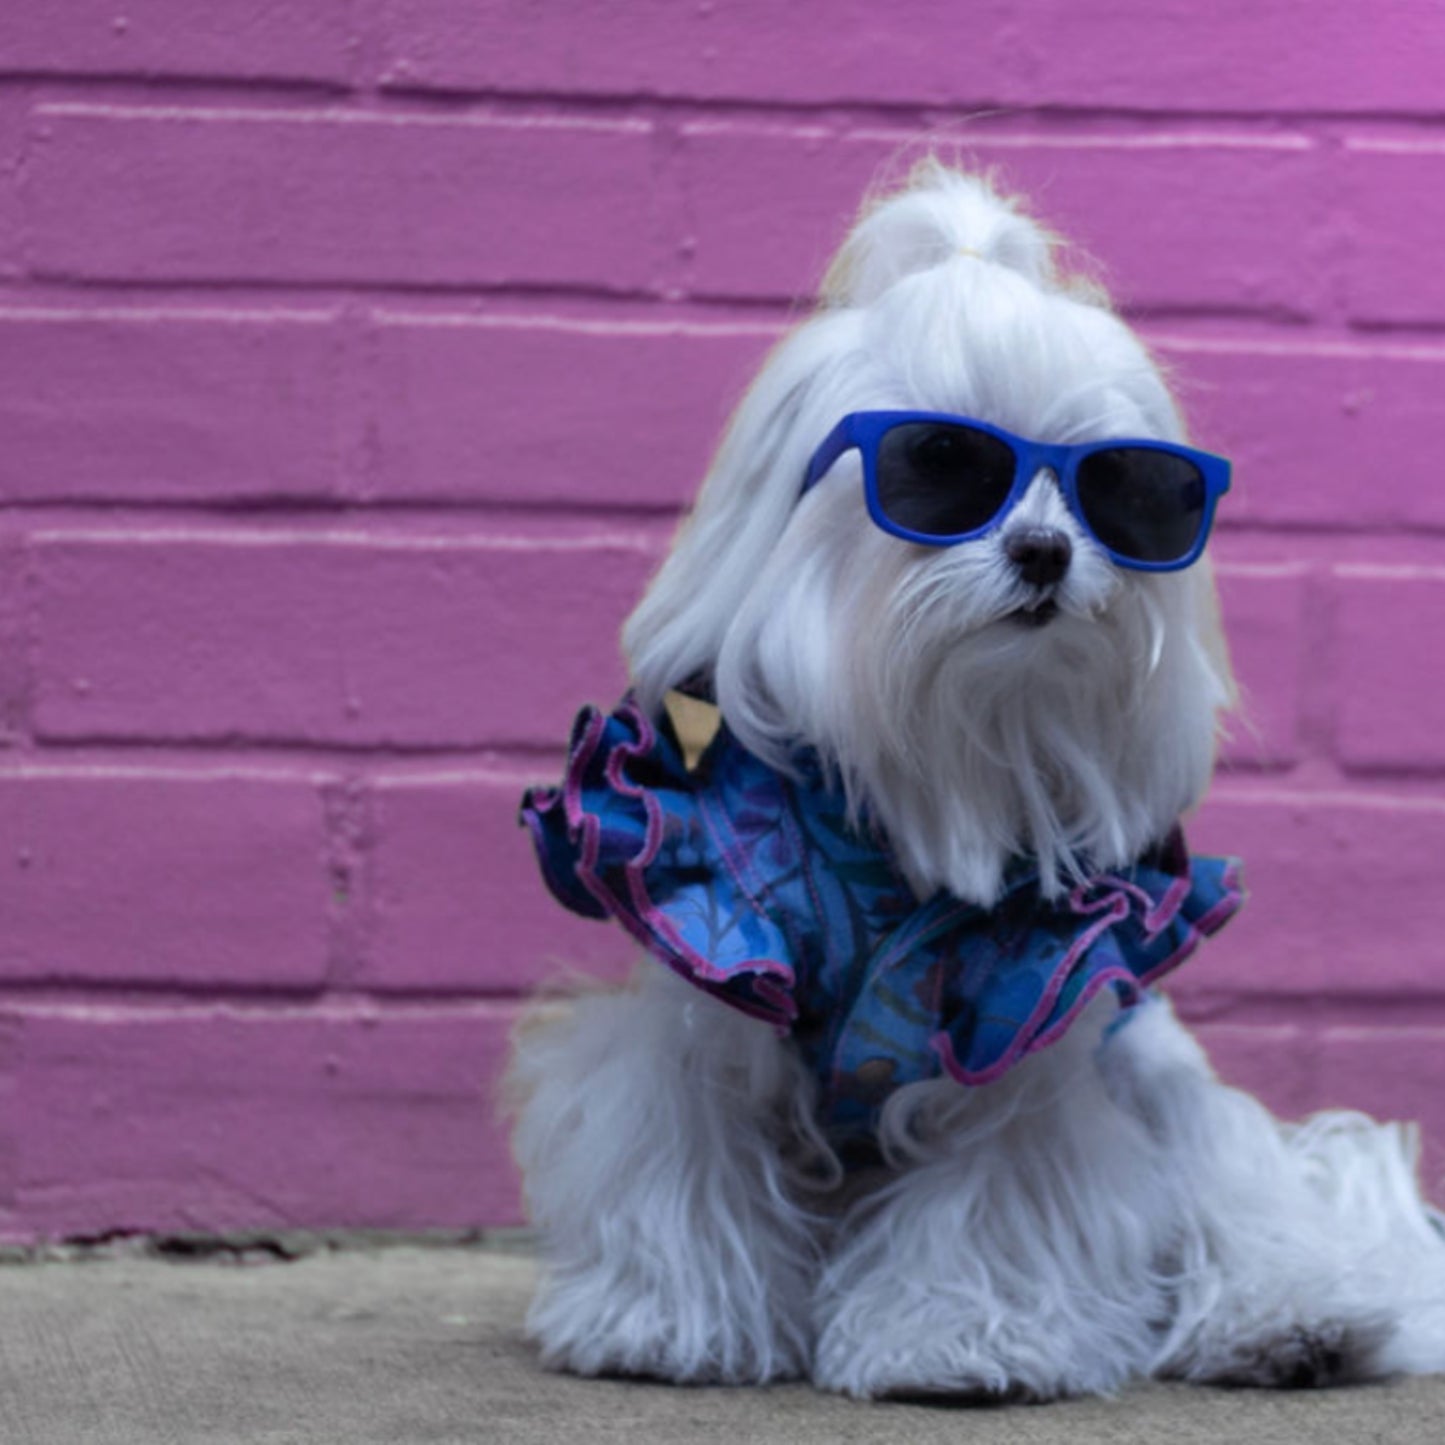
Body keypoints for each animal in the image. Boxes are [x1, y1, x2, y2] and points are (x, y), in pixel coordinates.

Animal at [508, 164, 1445, 1392]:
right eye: (937, 465)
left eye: (1126, 492)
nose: (1044, 550)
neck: (925, 784)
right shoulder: (703, 954)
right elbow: (681, 1148)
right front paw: (668, 1320)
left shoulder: (1030, 997)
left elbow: (994, 1188)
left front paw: (957, 1336)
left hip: (1160, 1077)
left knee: (1240, 1195)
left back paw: (1291, 1319)